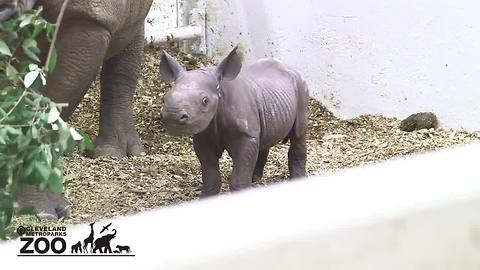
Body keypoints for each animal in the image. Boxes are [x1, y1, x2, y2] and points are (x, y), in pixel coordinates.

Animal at [159, 47, 310, 196]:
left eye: (205, 101)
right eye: (165, 99)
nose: (173, 116)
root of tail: (291, 68)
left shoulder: (246, 136)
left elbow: (239, 177)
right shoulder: (203, 135)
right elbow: (211, 177)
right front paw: (207, 197)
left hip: (301, 87)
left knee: (298, 134)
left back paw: (298, 179)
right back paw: (254, 181)